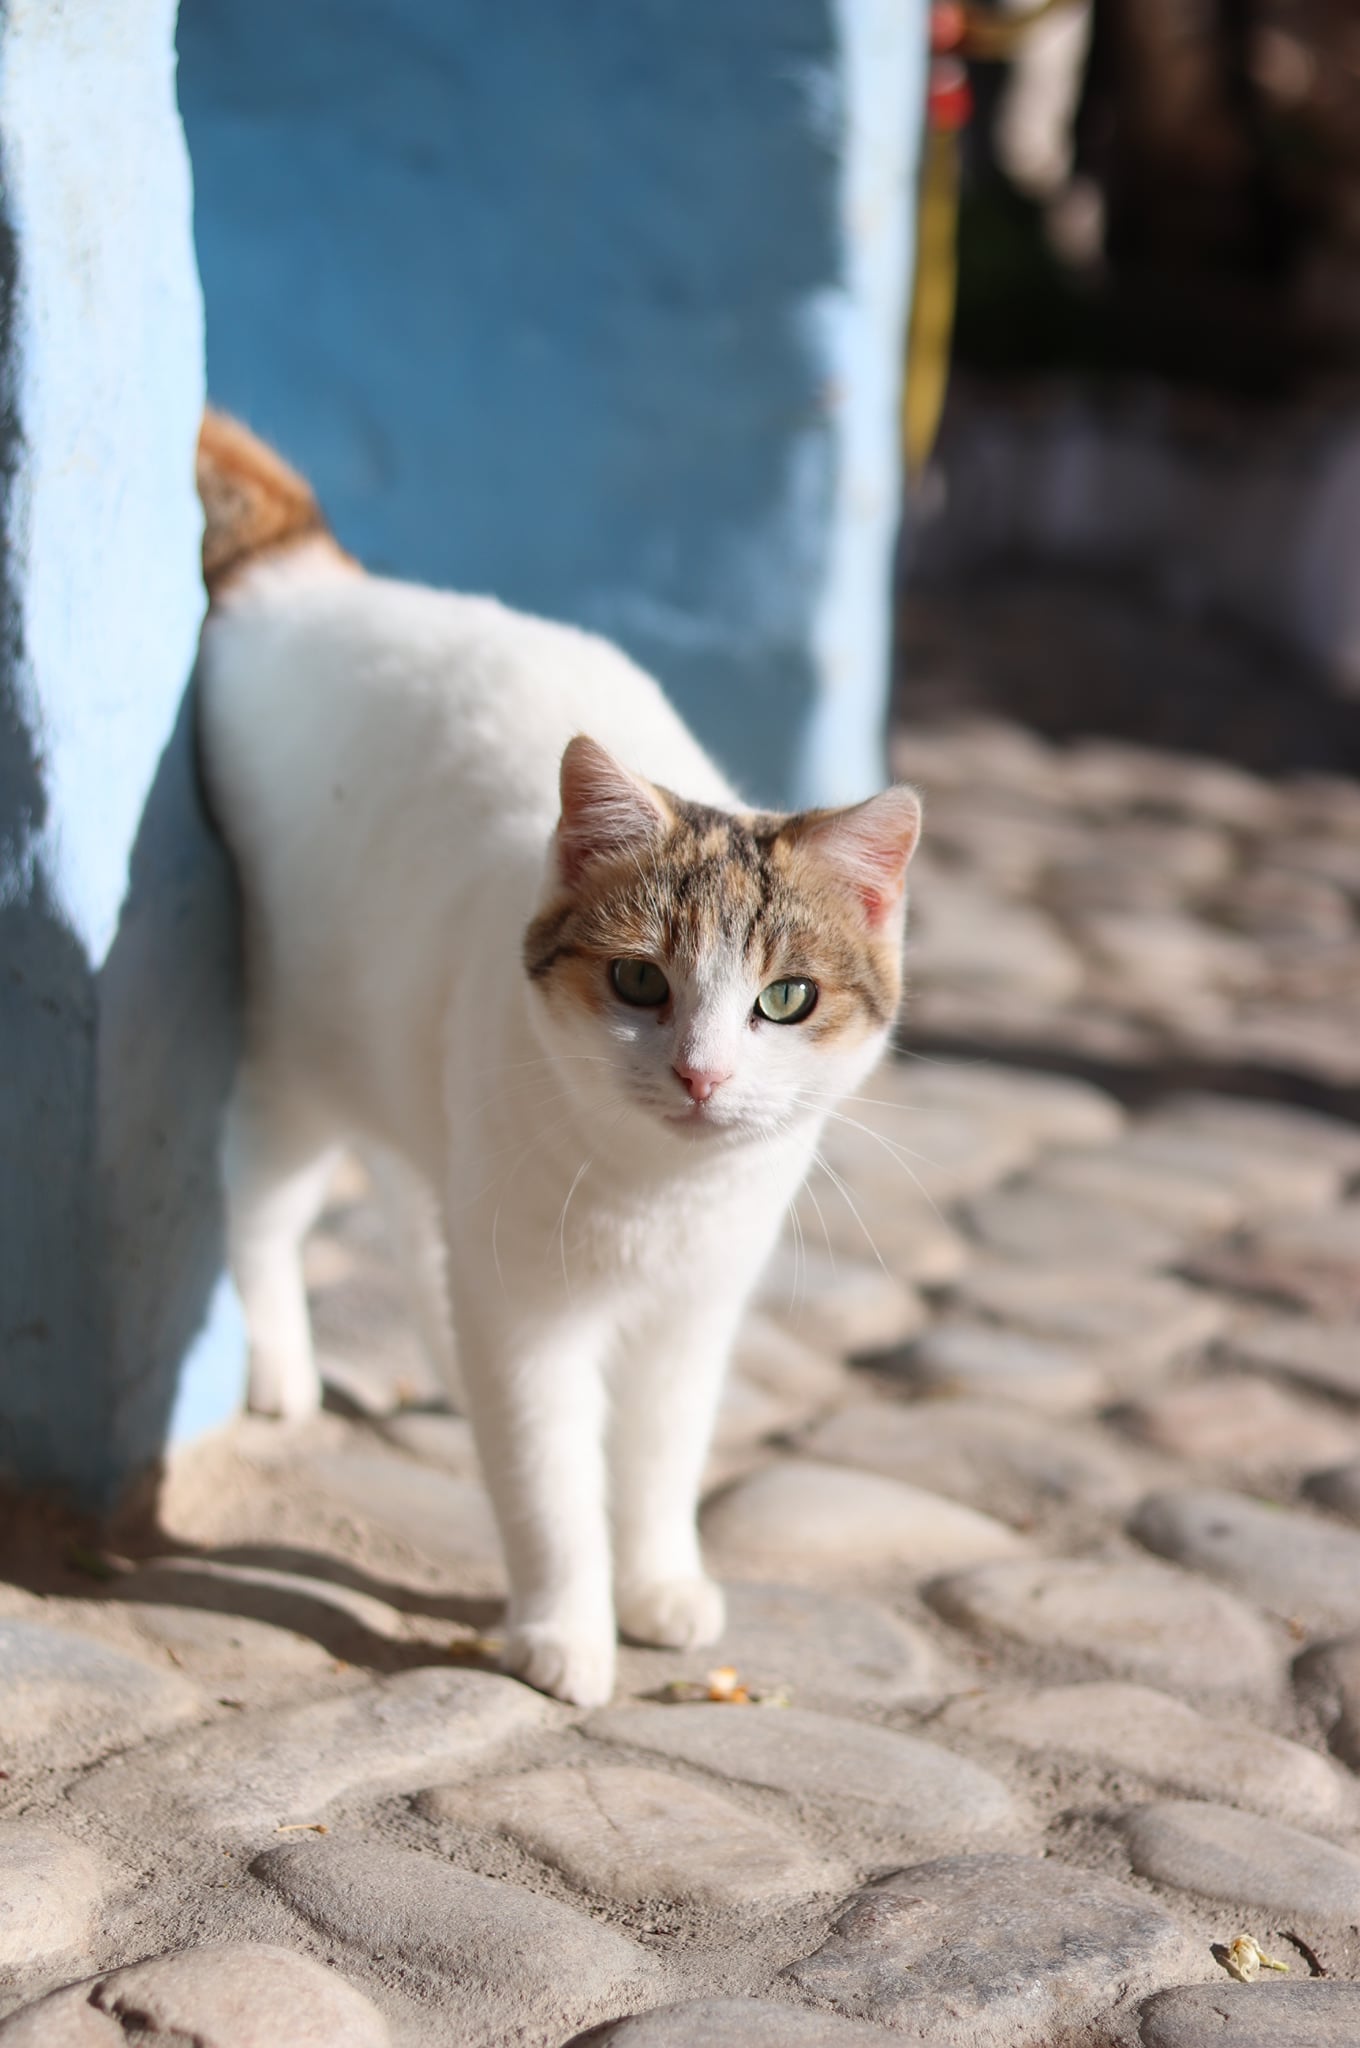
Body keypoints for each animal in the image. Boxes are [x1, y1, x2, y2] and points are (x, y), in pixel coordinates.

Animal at [193, 407, 925, 1703]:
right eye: (639, 982)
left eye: (785, 1000)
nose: (700, 1074)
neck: (654, 1194)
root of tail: (309, 579)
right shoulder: (530, 1311)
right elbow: (545, 1479)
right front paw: (564, 1629)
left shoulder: (693, 1309)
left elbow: (657, 1459)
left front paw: (659, 1581)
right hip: (295, 1065)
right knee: (267, 1211)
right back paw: (280, 1365)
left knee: (411, 1206)